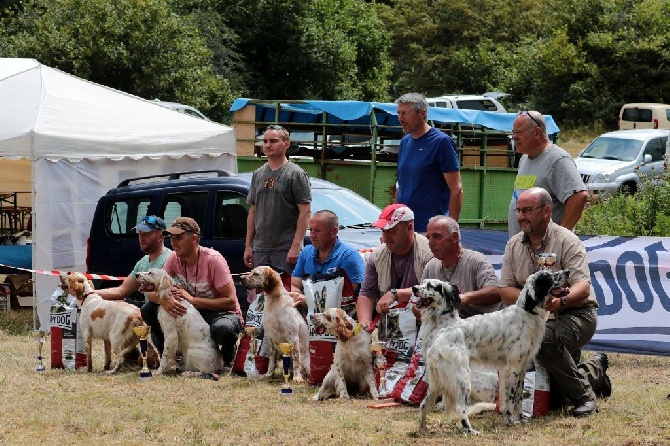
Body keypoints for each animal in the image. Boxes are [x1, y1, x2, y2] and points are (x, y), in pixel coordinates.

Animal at [420, 270, 572, 434]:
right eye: (547, 277)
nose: (567, 272)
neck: (526, 313)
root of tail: (437, 342)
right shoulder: (512, 369)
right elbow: (511, 399)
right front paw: (510, 421)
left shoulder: (522, 369)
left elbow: (519, 398)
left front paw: (521, 419)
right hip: (463, 379)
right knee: (460, 407)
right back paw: (471, 431)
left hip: (437, 383)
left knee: (424, 404)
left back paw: (423, 429)